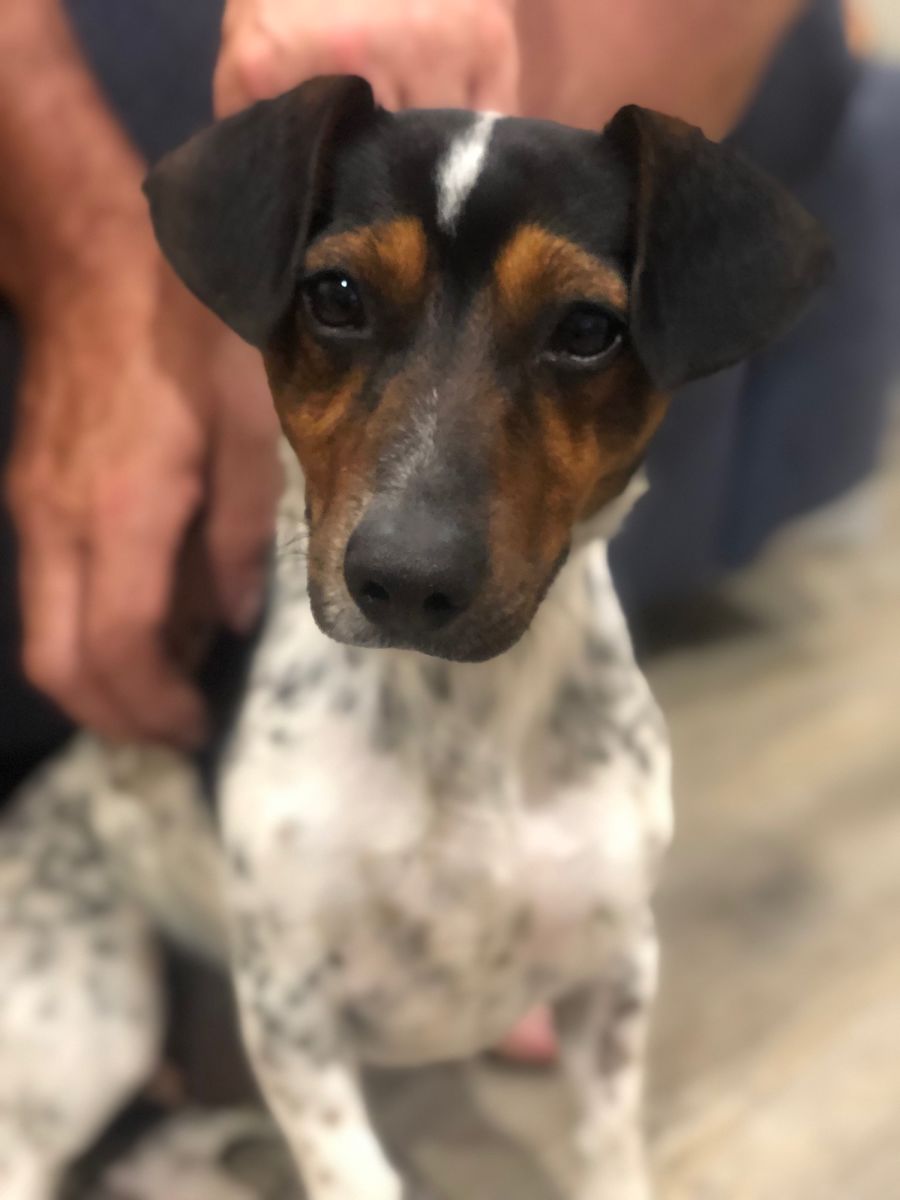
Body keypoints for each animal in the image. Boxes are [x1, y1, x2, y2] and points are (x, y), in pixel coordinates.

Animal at [0, 75, 829, 1200]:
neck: (460, 721)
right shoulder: (295, 1023)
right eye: (337, 296)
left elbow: (608, 1148)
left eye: (587, 327)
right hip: (87, 1021)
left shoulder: (613, 973)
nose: (404, 578)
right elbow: (358, 1173)